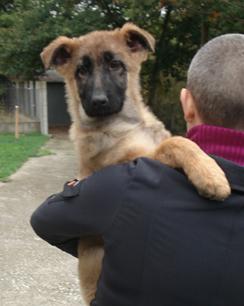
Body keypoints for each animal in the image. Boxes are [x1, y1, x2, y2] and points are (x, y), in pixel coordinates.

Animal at [41, 23, 230, 304]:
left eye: (115, 64)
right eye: (81, 71)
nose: (98, 101)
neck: (127, 123)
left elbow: (176, 139)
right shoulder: (130, 162)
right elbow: (176, 143)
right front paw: (211, 175)